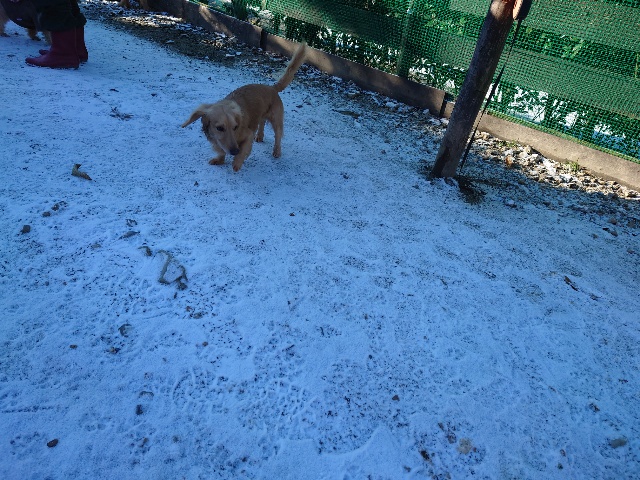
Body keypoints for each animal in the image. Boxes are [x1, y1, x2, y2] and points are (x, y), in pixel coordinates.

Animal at [182, 42, 307, 172]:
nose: (234, 151)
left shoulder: (247, 135)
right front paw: (220, 159)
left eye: (235, 127)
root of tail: (272, 88)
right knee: (262, 122)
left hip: (276, 120)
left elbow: (243, 150)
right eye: (220, 128)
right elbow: (221, 150)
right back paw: (260, 136)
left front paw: (237, 162)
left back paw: (276, 151)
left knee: (278, 136)